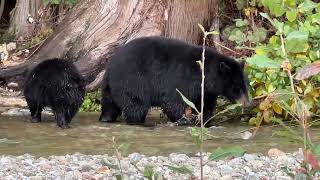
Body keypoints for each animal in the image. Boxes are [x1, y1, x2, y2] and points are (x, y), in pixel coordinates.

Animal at [99, 36, 249, 126]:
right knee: (136, 106)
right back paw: (138, 121)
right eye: (236, 88)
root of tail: (109, 67)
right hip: (132, 82)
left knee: (109, 103)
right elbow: (173, 101)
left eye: (246, 87)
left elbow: (204, 104)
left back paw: (106, 118)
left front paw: (204, 121)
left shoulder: (206, 90)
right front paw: (183, 120)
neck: (204, 73)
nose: (247, 104)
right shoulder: (182, 78)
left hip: (111, 87)